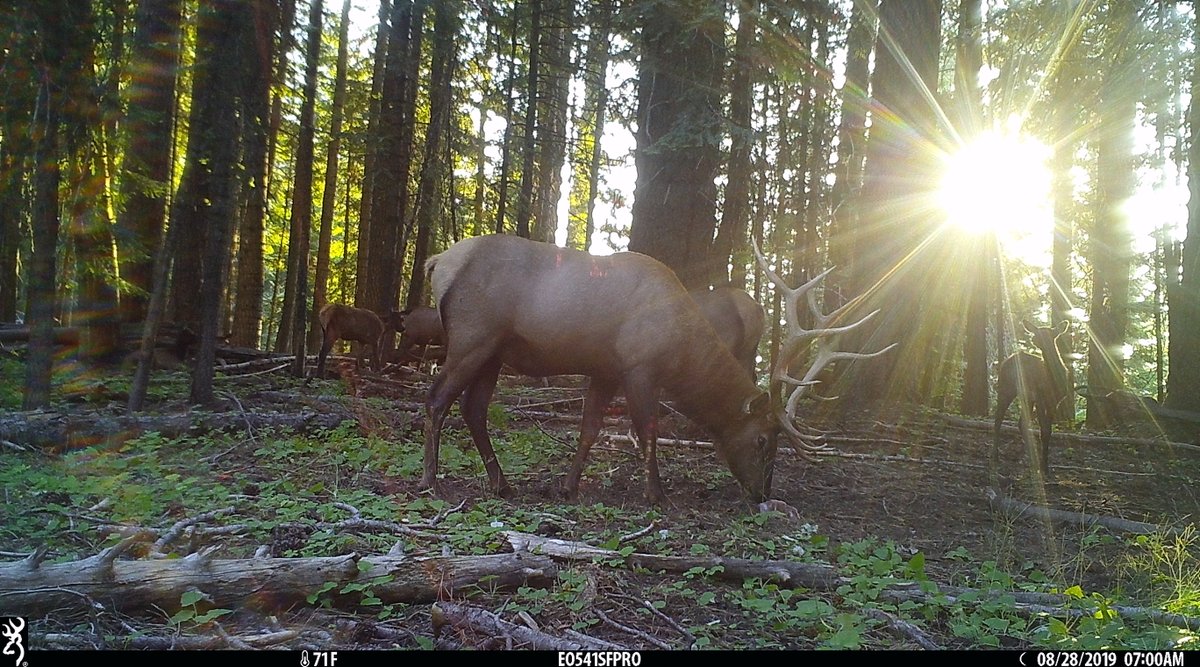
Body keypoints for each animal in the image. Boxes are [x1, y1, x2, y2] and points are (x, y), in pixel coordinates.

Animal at [420, 234, 893, 507]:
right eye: (762, 439)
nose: (762, 493)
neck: (681, 347)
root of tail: (437, 262)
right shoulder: (640, 365)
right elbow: (646, 428)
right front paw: (657, 493)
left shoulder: (606, 369)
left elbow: (590, 427)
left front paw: (567, 487)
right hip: (472, 335)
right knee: (437, 398)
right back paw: (431, 483)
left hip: (494, 351)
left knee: (474, 409)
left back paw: (502, 484)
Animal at [993, 319, 1072, 477]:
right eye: (1038, 332)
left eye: (1050, 335)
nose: (1034, 338)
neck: (1052, 381)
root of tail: (1005, 361)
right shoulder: (1040, 398)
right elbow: (1044, 431)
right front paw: (1043, 467)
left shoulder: (1054, 403)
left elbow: (1048, 431)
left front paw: (1045, 466)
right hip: (1007, 388)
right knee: (998, 418)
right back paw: (995, 455)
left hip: (1026, 397)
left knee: (1021, 423)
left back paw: (1029, 457)